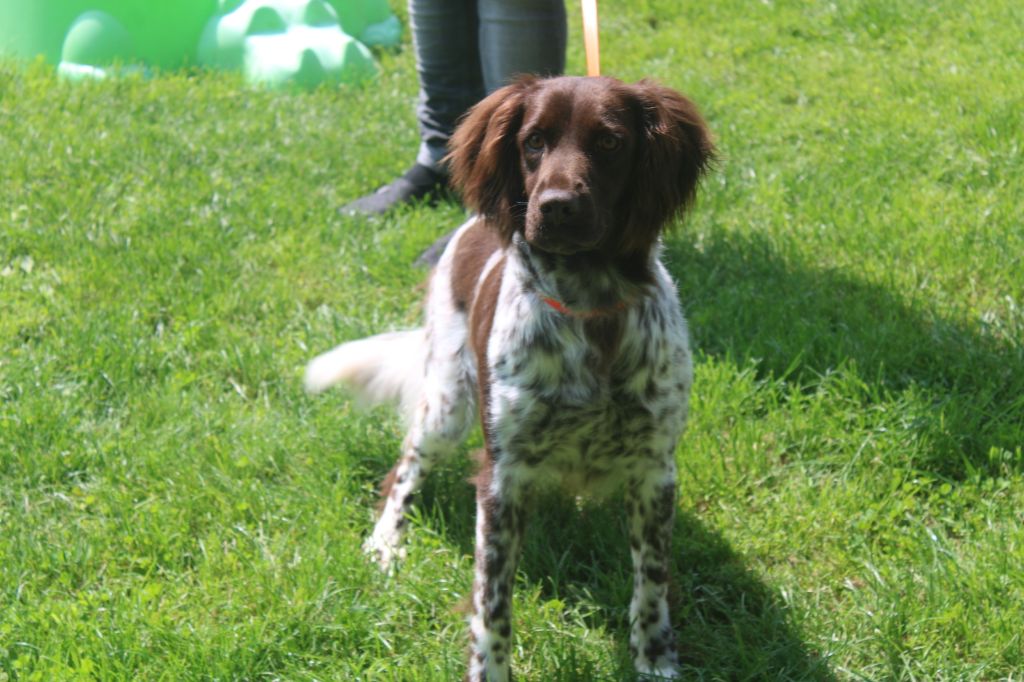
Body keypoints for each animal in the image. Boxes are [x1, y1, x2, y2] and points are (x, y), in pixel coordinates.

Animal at [307, 75, 716, 679]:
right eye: (534, 141)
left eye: (610, 142)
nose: (556, 207)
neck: (590, 310)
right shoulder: (503, 478)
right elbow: (492, 605)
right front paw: (490, 670)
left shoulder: (653, 470)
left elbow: (652, 584)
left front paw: (654, 657)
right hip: (447, 403)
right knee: (403, 471)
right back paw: (386, 542)